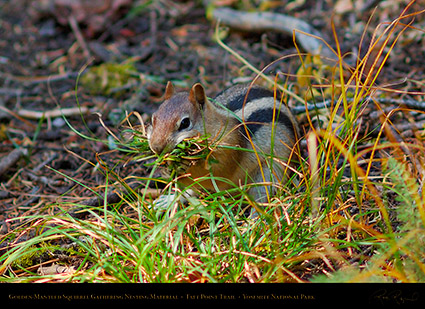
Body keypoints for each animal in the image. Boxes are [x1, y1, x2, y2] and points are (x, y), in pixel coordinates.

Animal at [147, 81, 300, 207]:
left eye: (185, 123)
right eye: (154, 119)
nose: (156, 147)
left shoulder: (230, 148)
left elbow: (218, 170)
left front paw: (183, 165)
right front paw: (166, 168)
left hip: (271, 172)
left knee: (261, 198)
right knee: (191, 191)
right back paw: (167, 201)